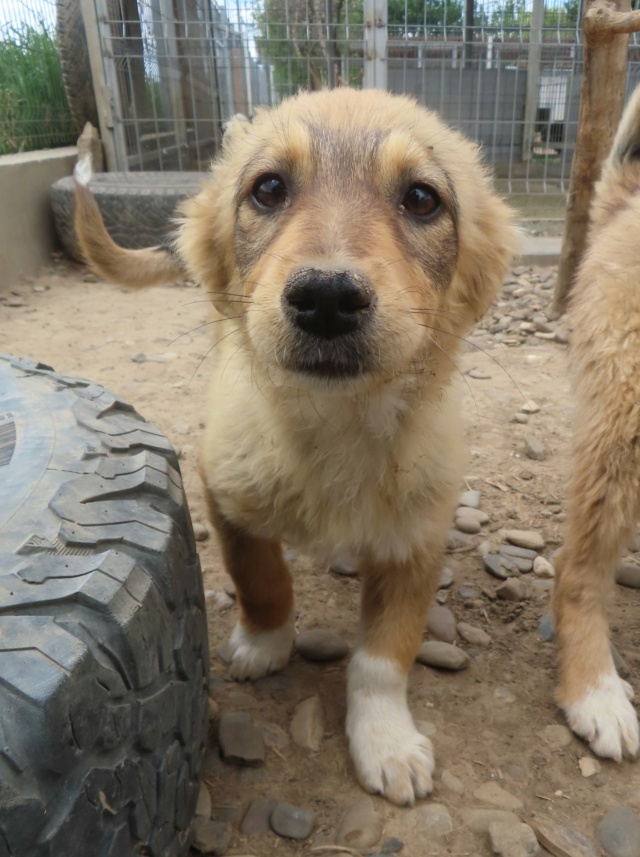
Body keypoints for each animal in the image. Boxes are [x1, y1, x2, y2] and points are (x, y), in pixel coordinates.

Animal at [74, 87, 516, 804]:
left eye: (422, 198)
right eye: (269, 188)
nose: (328, 297)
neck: (335, 424)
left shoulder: (417, 538)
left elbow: (383, 657)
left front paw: (386, 742)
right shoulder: (225, 492)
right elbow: (262, 578)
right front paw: (265, 643)